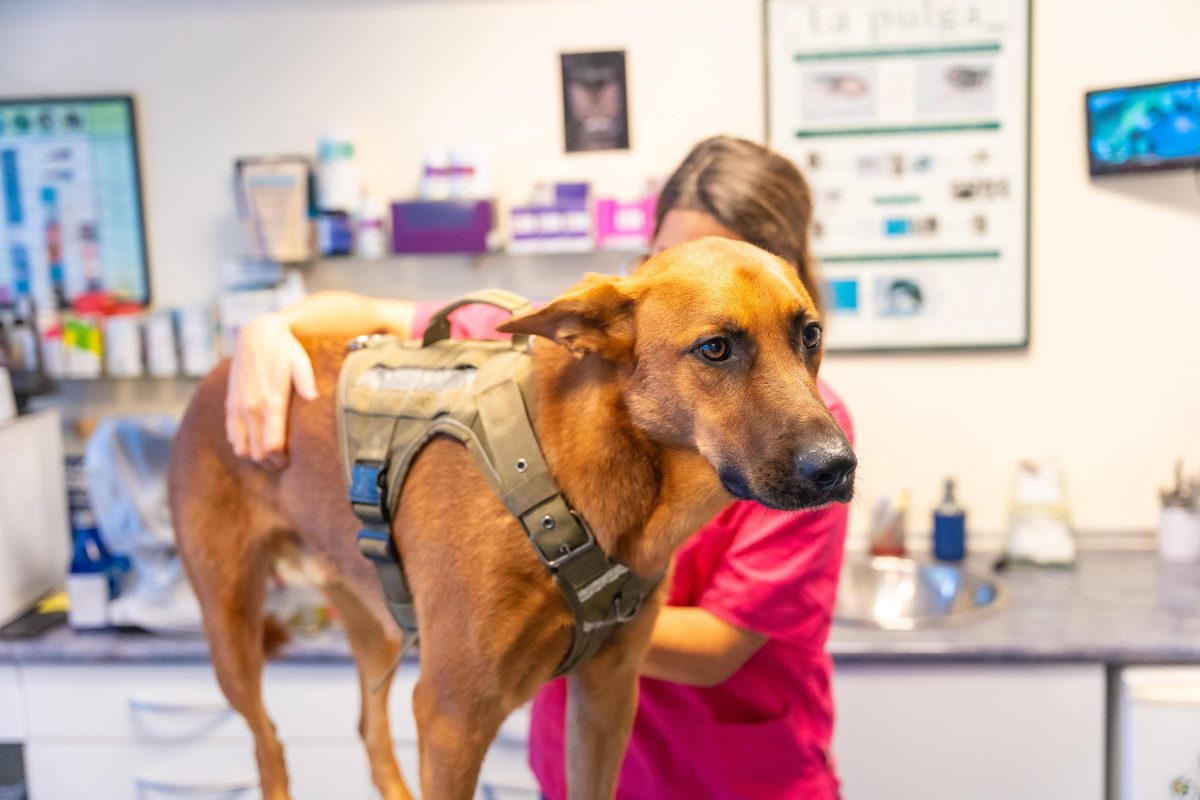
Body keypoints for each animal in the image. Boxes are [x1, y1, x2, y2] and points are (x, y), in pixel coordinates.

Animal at [169, 235, 859, 796]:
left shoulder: (606, 698)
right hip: (231, 636)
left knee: (366, 726)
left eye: (810, 335)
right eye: (715, 349)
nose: (838, 466)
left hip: (371, 622)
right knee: (268, 744)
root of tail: (220, 372)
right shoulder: (450, 718)